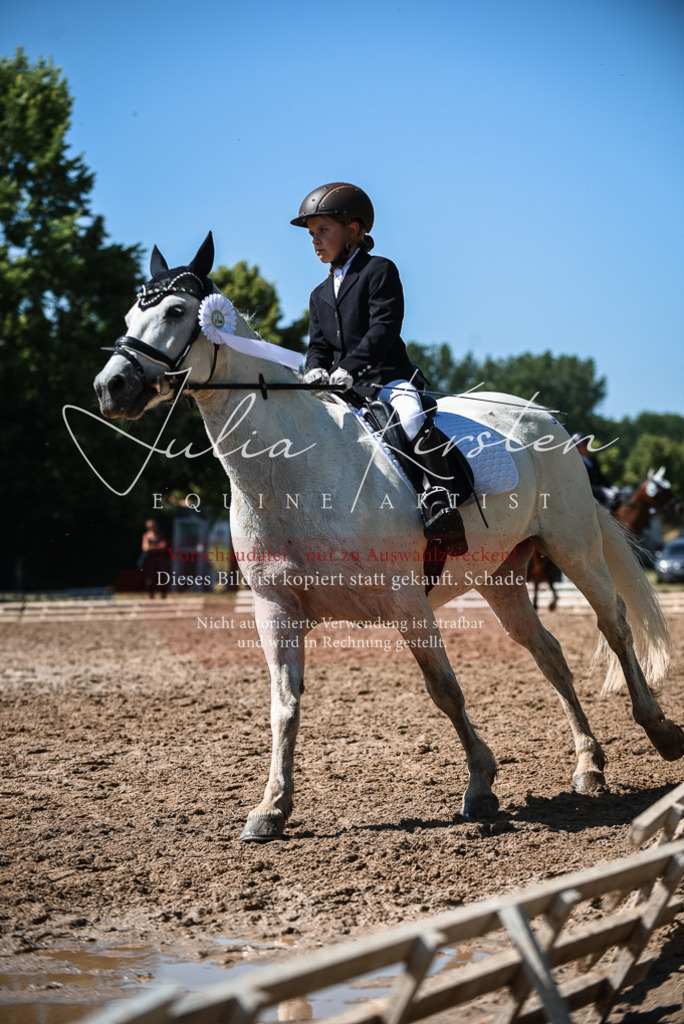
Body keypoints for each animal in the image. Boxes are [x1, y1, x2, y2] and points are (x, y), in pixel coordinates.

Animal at [92, 234, 684, 842]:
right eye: (130, 316)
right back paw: (589, 765)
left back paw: (661, 732)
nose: (111, 387)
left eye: (176, 311)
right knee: (549, 655)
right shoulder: (275, 609)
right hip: (500, 577)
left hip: (573, 549)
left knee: (614, 625)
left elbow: (444, 688)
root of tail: (545, 419)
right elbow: (284, 707)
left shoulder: (406, 602)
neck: (296, 471)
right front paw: (271, 809)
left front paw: (481, 786)